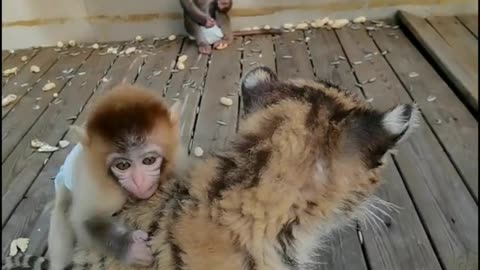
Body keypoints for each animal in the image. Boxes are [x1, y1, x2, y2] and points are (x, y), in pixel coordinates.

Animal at [47, 85, 184, 270]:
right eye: (123, 165)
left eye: (149, 160)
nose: (139, 181)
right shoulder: (101, 186)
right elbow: (86, 219)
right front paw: (132, 247)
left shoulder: (176, 165)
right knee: (62, 209)